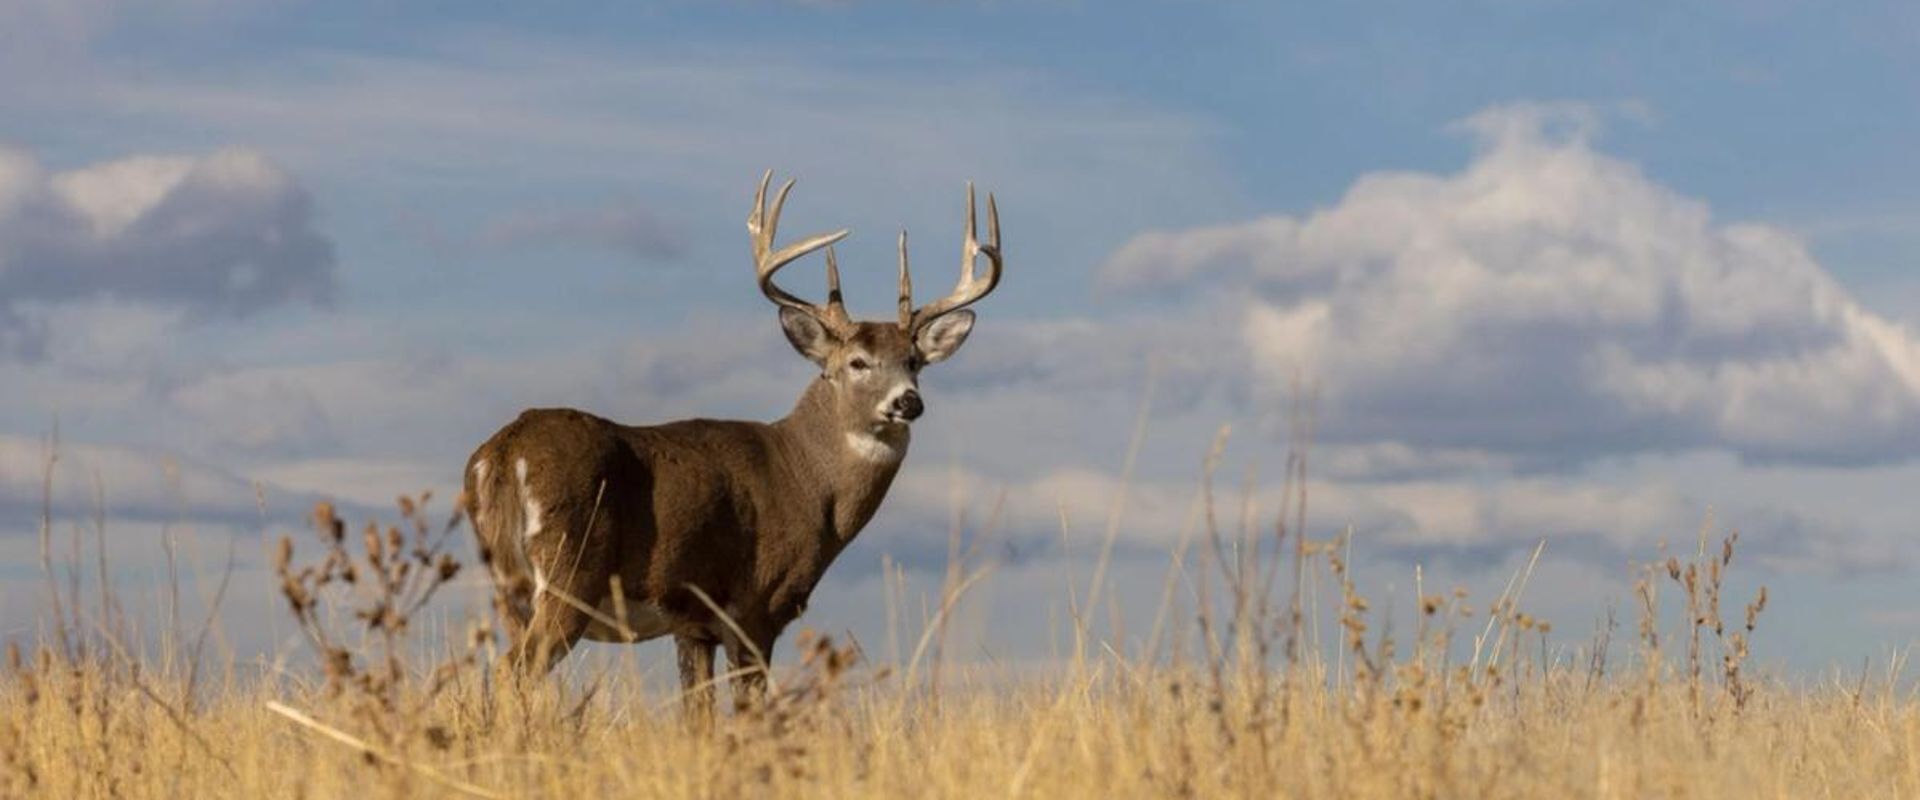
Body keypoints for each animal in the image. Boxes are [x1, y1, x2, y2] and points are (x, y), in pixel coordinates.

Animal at [462, 170, 1001, 716]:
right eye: (857, 362)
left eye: (914, 361)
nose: (908, 401)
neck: (806, 479)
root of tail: (503, 452)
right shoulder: (756, 604)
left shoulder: (692, 623)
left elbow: (697, 714)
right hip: (570, 570)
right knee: (514, 669)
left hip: (508, 584)